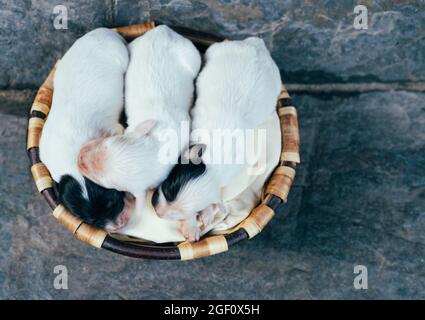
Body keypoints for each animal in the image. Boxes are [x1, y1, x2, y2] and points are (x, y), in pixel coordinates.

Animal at [40, 28, 134, 232]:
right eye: (90, 219)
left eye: (112, 201)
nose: (117, 226)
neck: (72, 156)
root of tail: (102, 31)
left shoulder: (112, 130)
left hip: (120, 55)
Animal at [77, 26, 200, 208]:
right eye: (107, 143)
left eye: (106, 182)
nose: (78, 156)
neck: (159, 146)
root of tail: (163, 30)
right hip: (138, 46)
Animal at [150, 37, 282, 240]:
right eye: (168, 190)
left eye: (189, 212)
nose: (158, 213)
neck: (212, 163)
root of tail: (258, 45)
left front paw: (201, 218)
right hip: (219, 50)